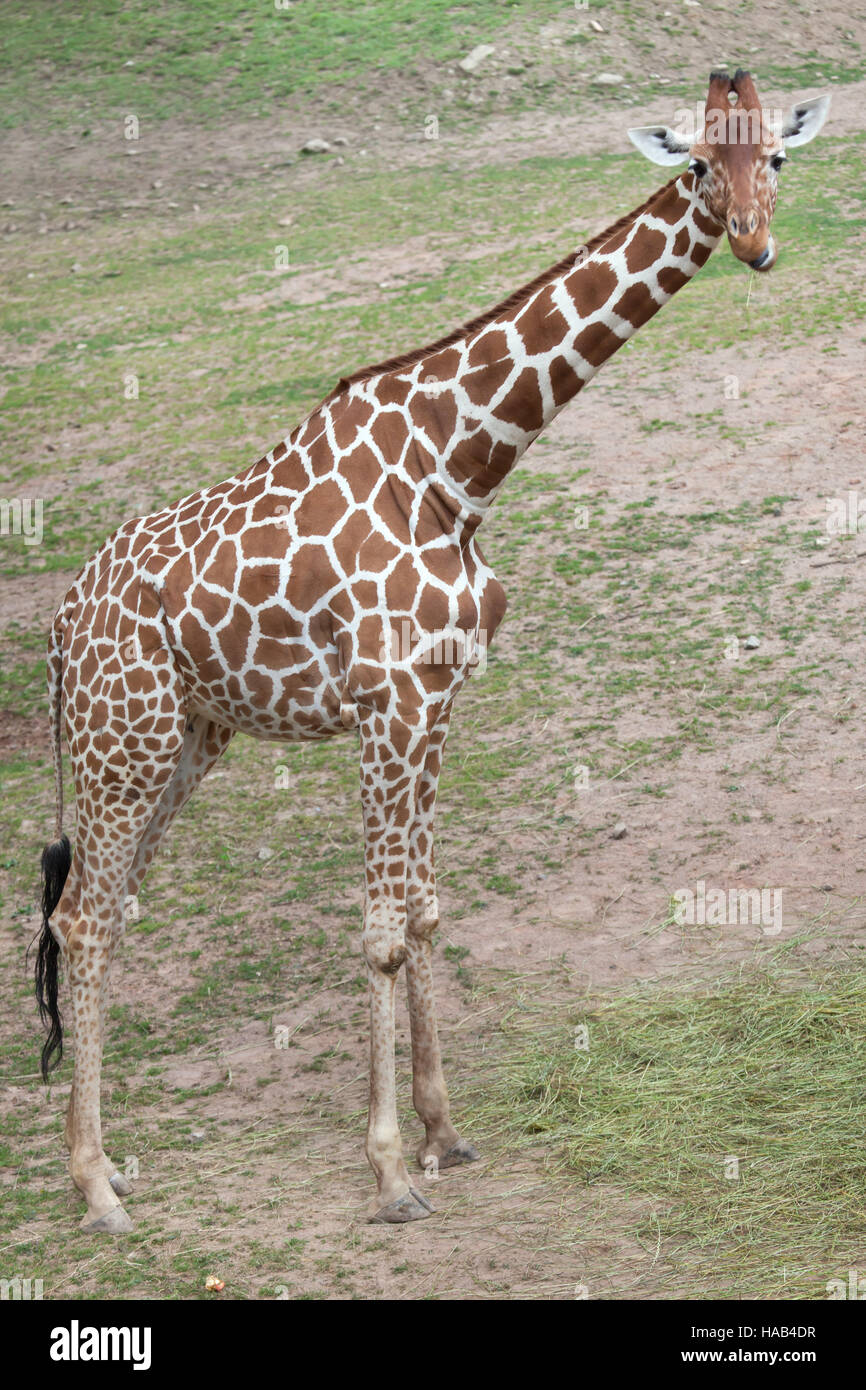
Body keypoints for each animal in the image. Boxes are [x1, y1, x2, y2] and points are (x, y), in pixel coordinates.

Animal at [37, 70, 828, 1234]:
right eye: (694, 162)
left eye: (774, 155)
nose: (753, 244)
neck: (459, 468)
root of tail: (58, 629)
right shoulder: (386, 702)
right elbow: (378, 929)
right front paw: (387, 1172)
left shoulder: (440, 698)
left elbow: (421, 910)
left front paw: (443, 1133)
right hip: (122, 741)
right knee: (85, 919)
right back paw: (95, 1184)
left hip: (183, 740)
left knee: (95, 908)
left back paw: (112, 1166)